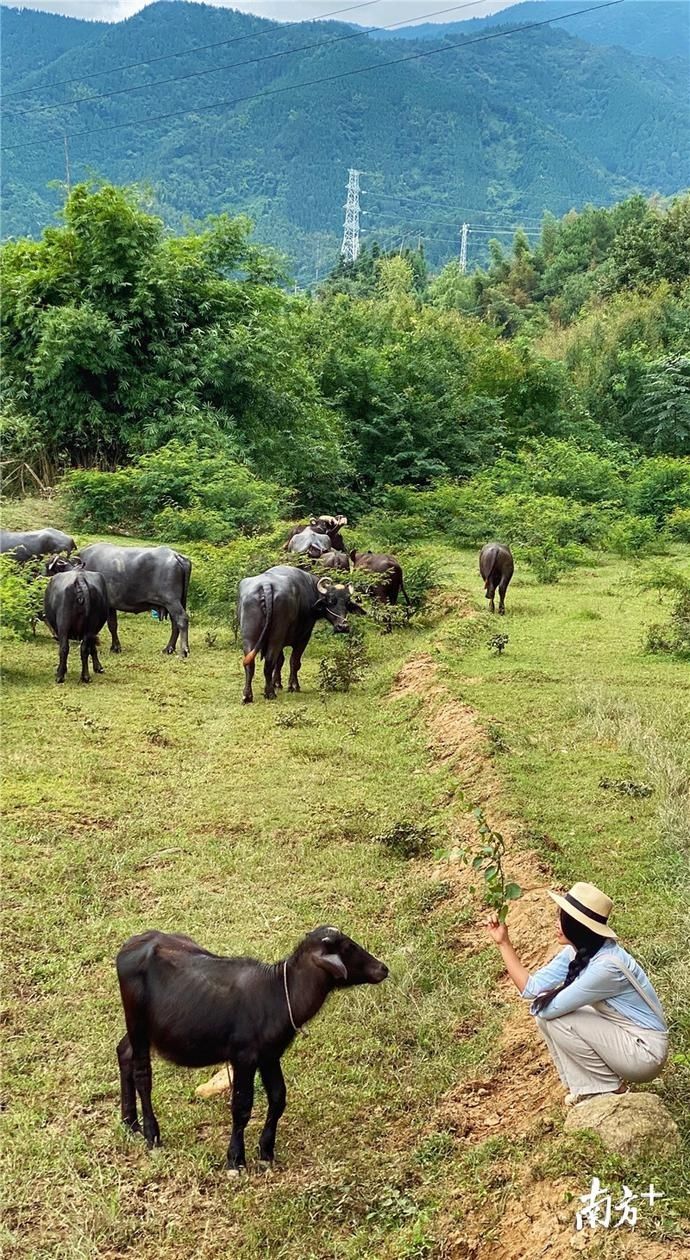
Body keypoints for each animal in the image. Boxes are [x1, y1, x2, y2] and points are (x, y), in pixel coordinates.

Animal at [236, 567, 362, 705]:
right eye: (330, 601)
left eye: (347, 603)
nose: (343, 626)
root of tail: (266, 585)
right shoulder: (304, 637)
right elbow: (294, 662)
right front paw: (293, 686)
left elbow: (280, 661)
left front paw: (277, 683)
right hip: (276, 636)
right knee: (269, 662)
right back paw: (270, 693)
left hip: (249, 635)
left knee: (250, 663)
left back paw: (247, 696)